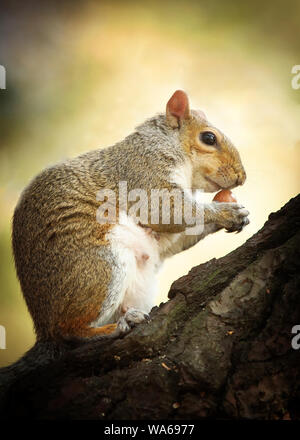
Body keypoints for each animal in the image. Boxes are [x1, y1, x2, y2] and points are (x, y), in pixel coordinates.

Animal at [0, 90, 248, 384]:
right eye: (209, 138)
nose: (242, 177)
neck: (169, 145)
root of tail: (43, 330)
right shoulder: (143, 173)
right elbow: (166, 211)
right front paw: (225, 212)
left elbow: (174, 237)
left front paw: (236, 214)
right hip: (99, 267)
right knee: (69, 331)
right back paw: (114, 328)